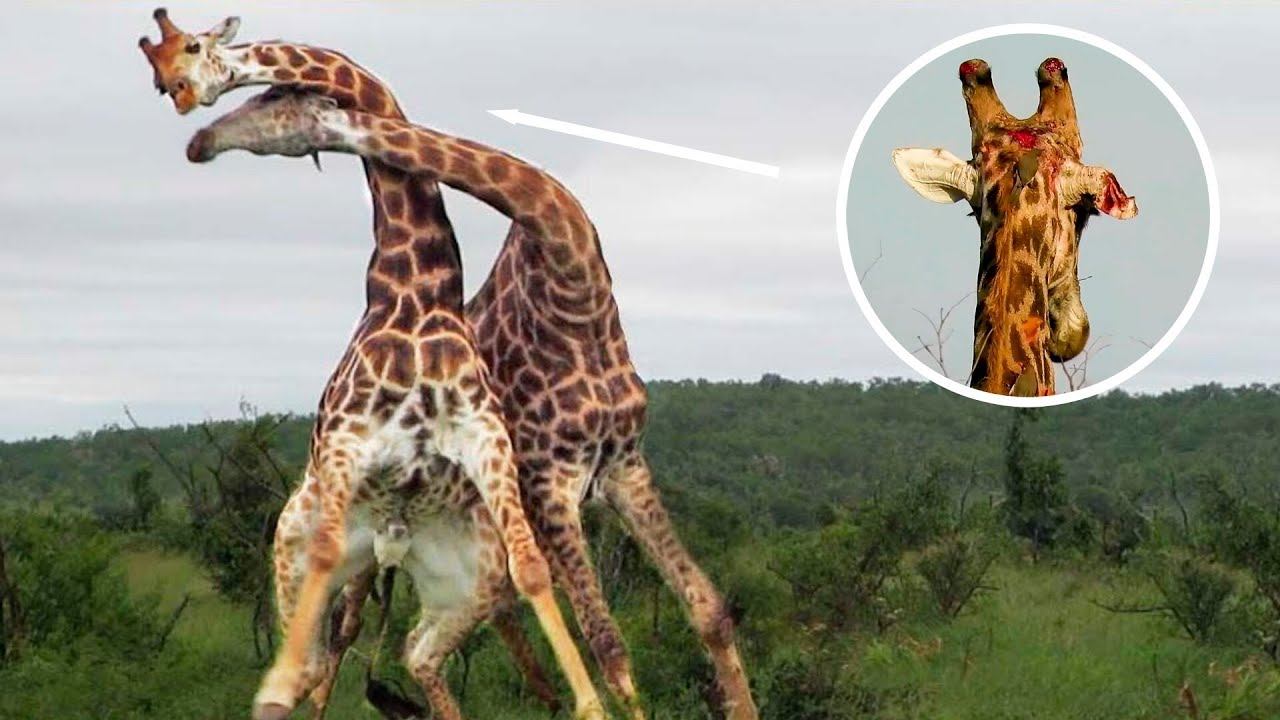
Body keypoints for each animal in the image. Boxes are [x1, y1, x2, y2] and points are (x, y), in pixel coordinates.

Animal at [141, 9, 756, 719]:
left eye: (274, 100)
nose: (198, 135)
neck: (575, 289)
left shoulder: (625, 464)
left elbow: (707, 610)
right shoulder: (549, 478)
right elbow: (612, 648)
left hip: (458, 567)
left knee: (423, 645)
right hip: (362, 543)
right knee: (338, 648)